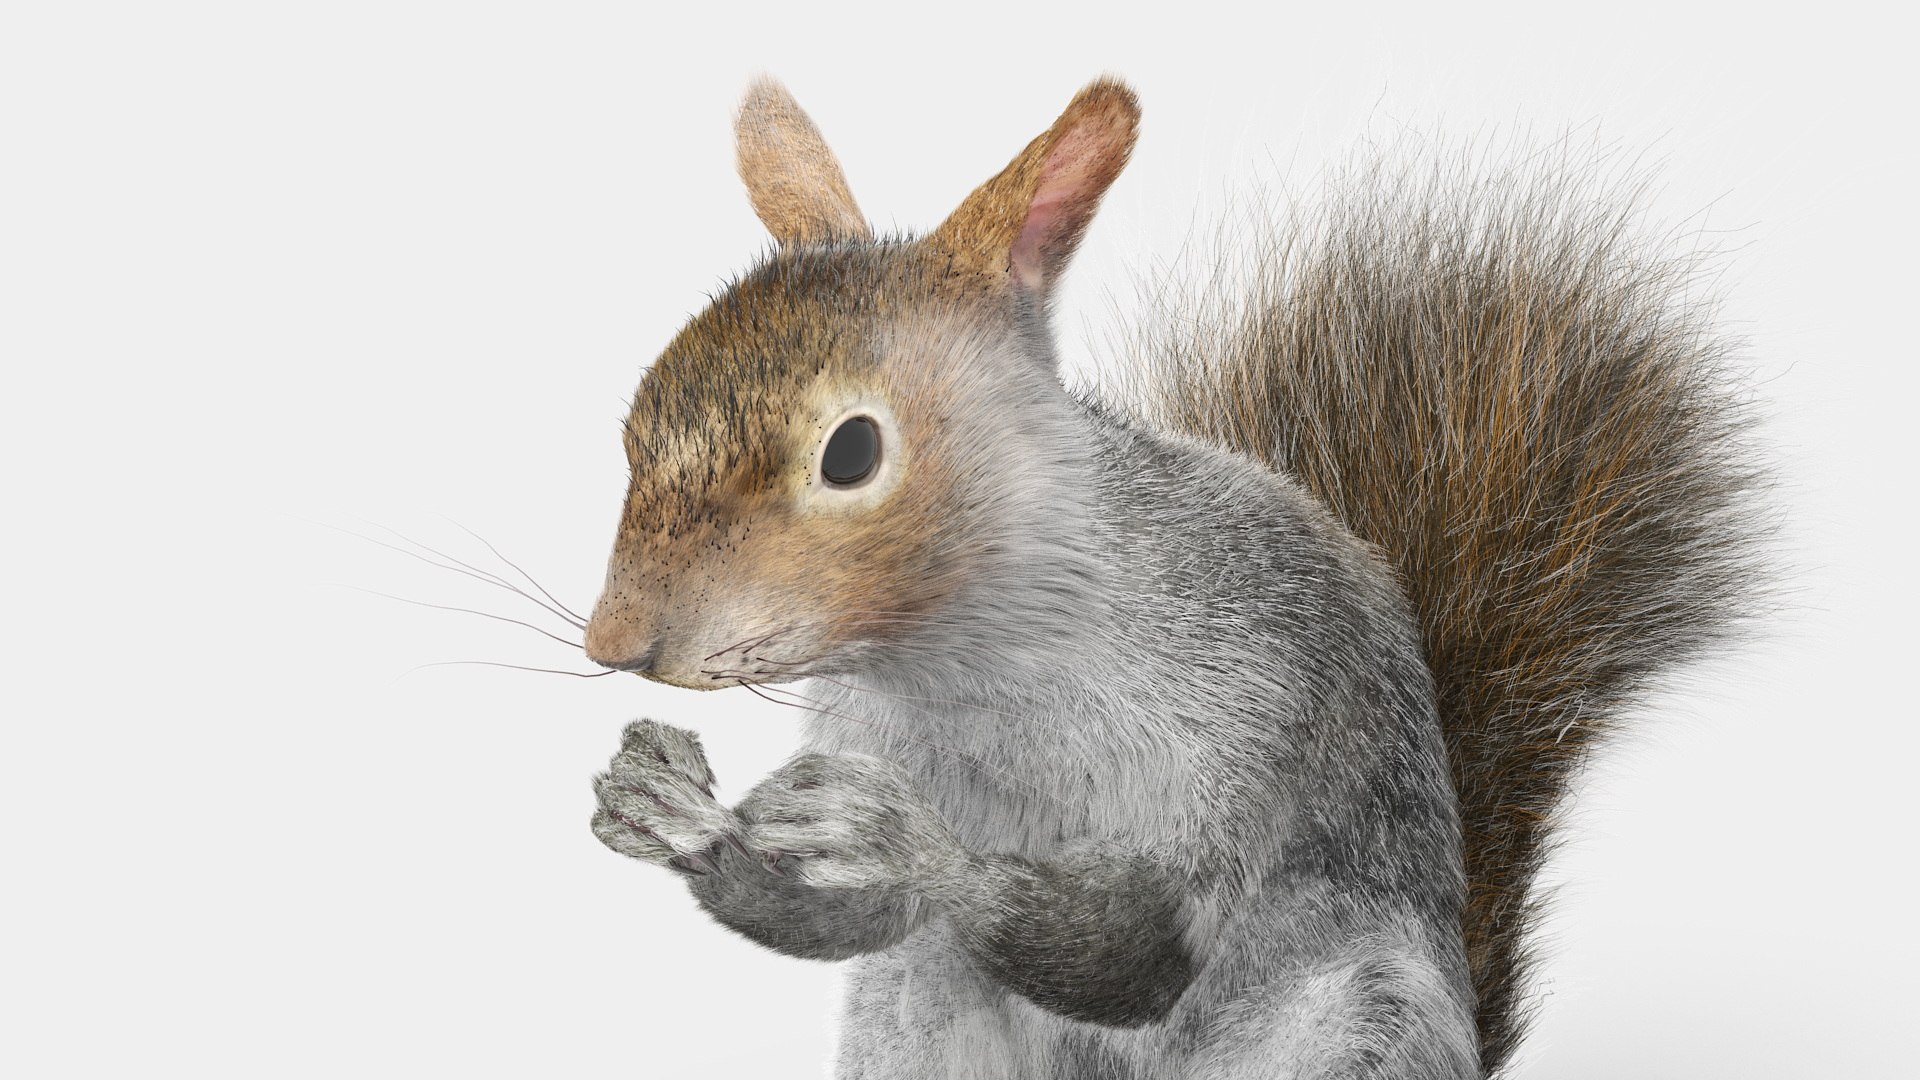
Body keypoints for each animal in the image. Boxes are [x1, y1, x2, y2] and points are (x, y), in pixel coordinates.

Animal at [580, 76, 1764, 1078]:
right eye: (636, 419)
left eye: (852, 453)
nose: (614, 646)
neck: (972, 668)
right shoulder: (867, 725)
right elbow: (842, 923)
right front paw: (667, 807)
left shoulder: (1254, 702)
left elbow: (1143, 949)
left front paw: (899, 842)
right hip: (915, 1018)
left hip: (1365, 1022)